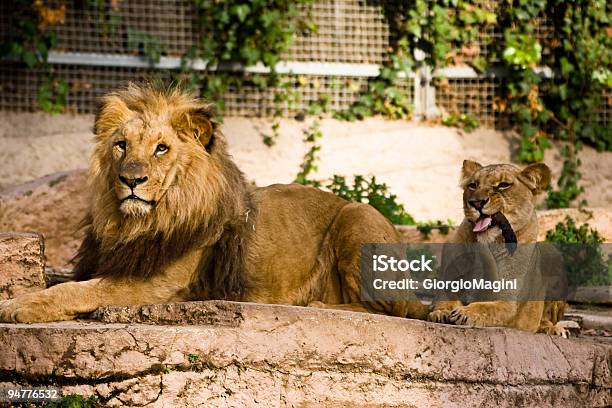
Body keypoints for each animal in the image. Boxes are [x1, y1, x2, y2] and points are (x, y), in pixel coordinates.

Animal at [0, 83, 428, 322]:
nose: (131, 179)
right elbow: (67, 281)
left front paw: (19, 306)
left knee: (395, 310)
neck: (137, 223)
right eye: (121, 145)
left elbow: (81, 290)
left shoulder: (158, 283)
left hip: (358, 214)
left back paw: (319, 307)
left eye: (161, 149)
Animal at [428, 159, 568, 334]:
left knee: (545, 320)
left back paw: (553, 329)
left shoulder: (508, 303)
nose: (476, 202)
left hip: (554, 253)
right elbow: (445, 300)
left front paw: (465, 313)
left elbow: (485, 308)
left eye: (503, 185)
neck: (491, 243)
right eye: (473, 185)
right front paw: (441, 312)